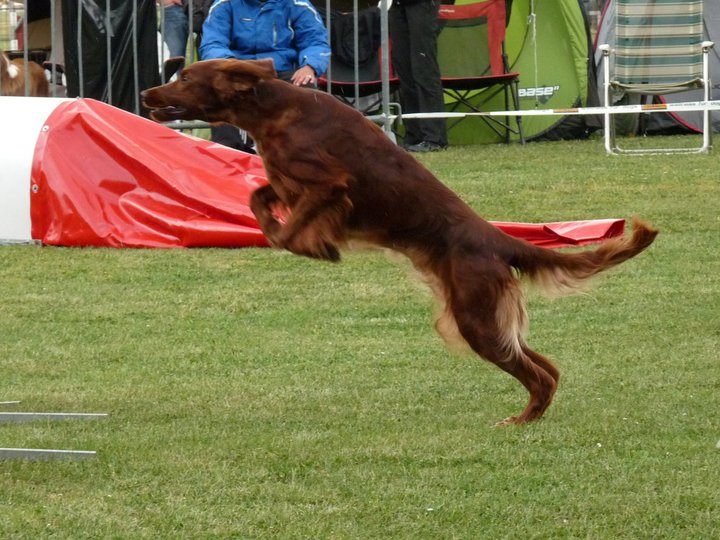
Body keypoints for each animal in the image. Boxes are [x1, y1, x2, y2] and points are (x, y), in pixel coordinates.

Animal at [141, 58, 660, 422]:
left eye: (184, 76)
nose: (146, 92)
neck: (275, 110)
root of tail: (497, 240)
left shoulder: (329, 186)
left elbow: (286, 233)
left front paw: (318, 247)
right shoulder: (288, 181)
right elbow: (255, 196)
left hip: (475, 316)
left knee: (538, 375)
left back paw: (520, 421)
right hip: (481, 317)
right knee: (547, 367)